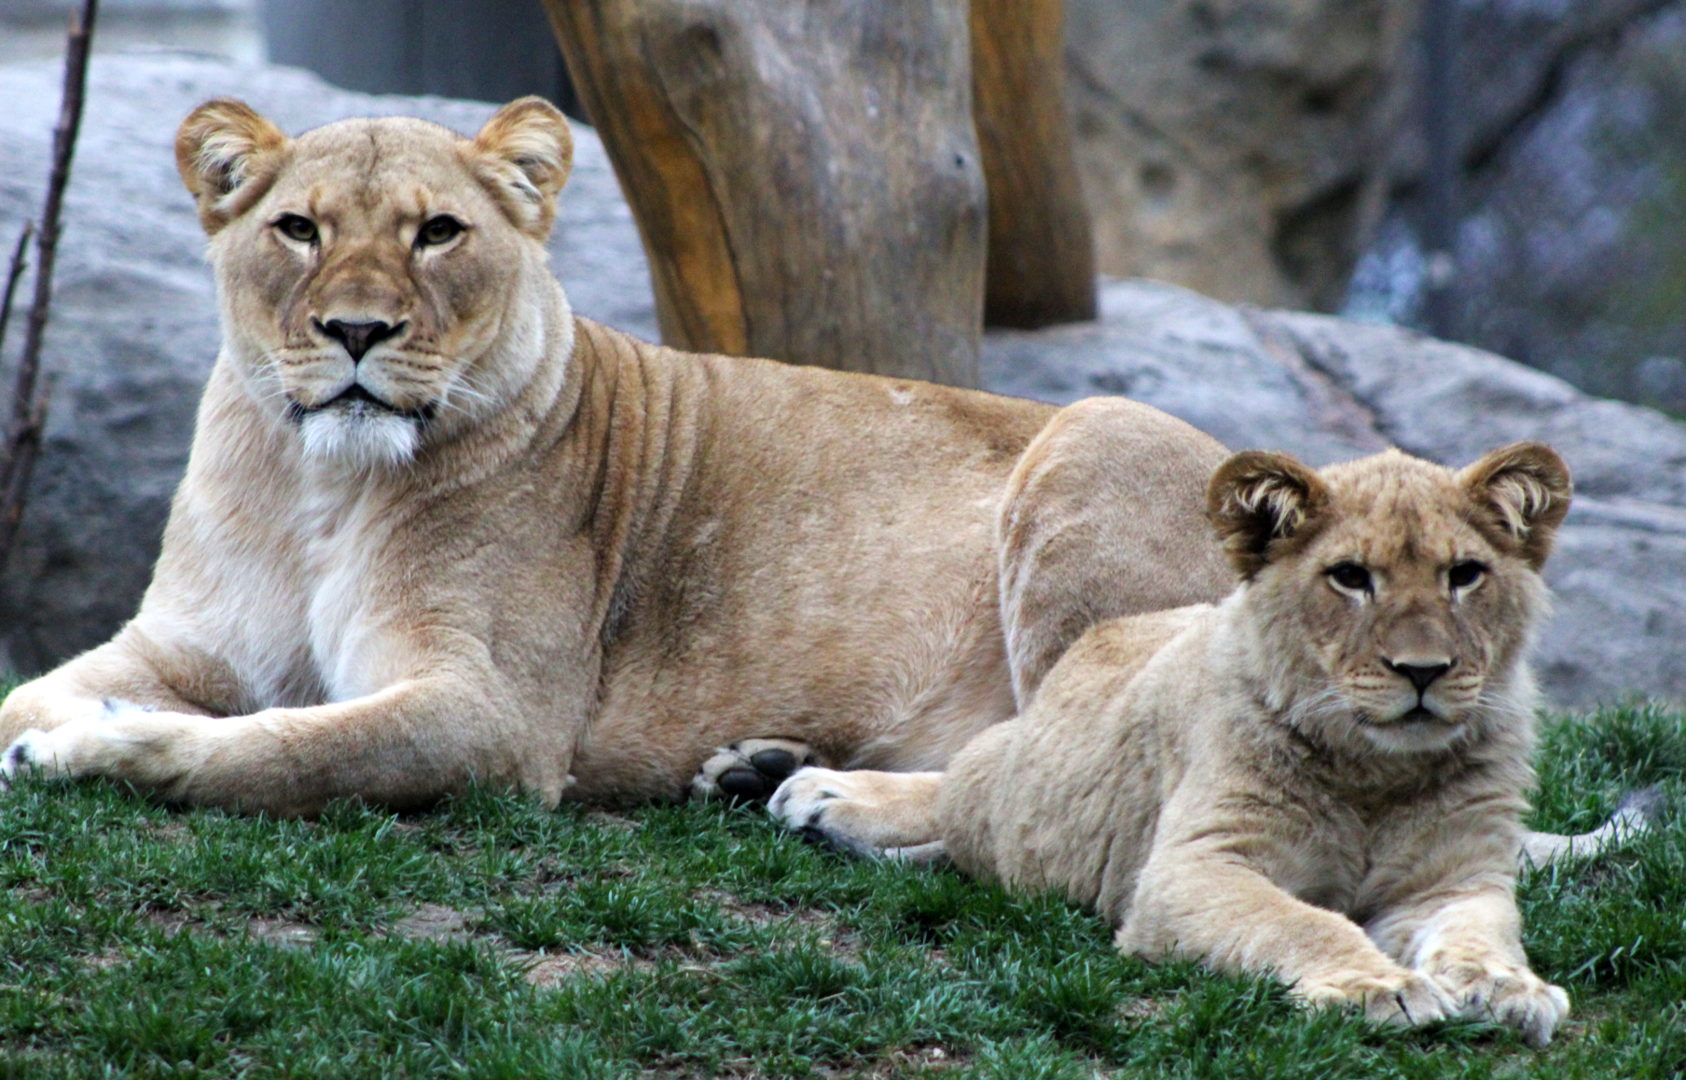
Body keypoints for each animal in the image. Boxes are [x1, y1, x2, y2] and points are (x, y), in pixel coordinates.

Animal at [0, 96, 1241, 814]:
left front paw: (97, 747)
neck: (319, 484)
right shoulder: (179, 642)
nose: (357, 331)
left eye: (437, 232)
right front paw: (53, 726)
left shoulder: (494, 712)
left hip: (1095, 437)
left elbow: (281, 750)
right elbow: (28, 696)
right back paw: (761, 768)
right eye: (297, 229)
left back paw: (834, 803)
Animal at [771, 443, 1586, 1046]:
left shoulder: (1457, 881)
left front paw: (1509, 987)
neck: (1374, 774)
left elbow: (1483, 933)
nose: (1423, 671)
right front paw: (1378, 986)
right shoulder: (1190, 869)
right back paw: (814, 792)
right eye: (1351, 577)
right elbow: (1299, 920)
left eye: (1465, 575)